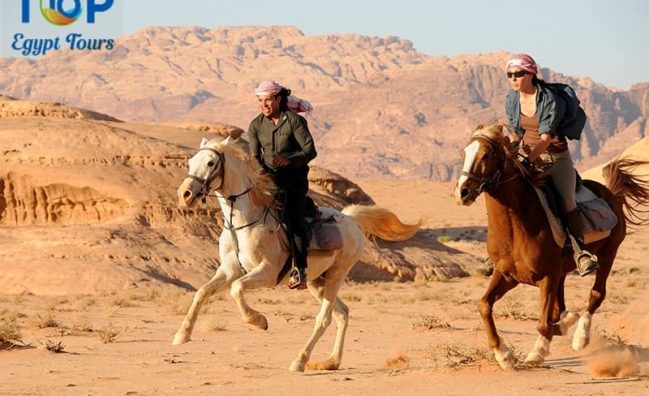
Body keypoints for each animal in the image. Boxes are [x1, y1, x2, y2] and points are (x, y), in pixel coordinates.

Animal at [171, 136, 420, 372]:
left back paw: (300, 361)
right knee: (342, 313)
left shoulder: (267, 272)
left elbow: (236, 289)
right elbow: (202, 292)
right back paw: (331, 362)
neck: (243, 222)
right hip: (316, 281)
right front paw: (182, 334)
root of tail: (351, 220)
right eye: (190, 162)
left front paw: (259, 321)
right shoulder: (229, 270)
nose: (185, 194)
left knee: (324, 319)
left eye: (211, 163)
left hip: (337, 275)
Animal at [456, 123, 648, 368]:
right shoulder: (507, 275)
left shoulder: (546, 278)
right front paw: (504, 355)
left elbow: (544, 323)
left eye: (486, 154)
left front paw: (537, 352)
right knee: (560, 308)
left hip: (608, 254)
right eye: (463, 154)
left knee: (596, 294)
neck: (517, 227)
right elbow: (484, 306)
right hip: (563, 270)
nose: (462, 192)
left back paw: (580, 337)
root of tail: (612, 194)